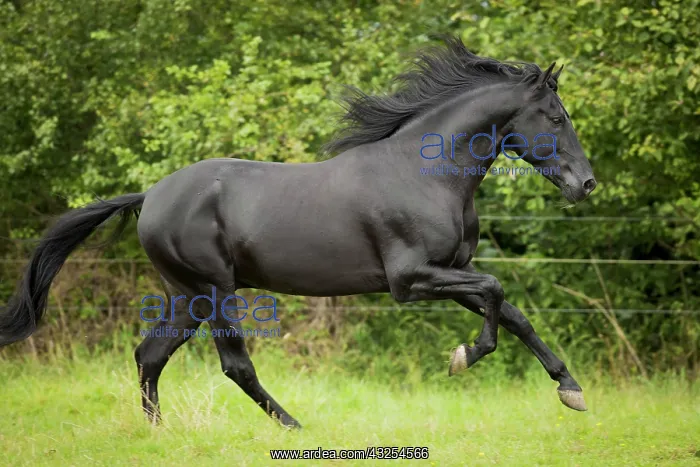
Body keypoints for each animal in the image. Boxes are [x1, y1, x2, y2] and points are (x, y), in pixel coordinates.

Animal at [0, 36, 596, 428]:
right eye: (556, 117)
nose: (586, 184)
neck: (425, 173)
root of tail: (150, 196)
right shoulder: (411, 280)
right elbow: (497, 296)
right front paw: (463, 357)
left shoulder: (453, 271)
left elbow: (514, 313)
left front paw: (571, 390)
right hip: (214, 291)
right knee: (235, 365)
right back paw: (294, 427)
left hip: (185, 297)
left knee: (150, 355)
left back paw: (159, 432)